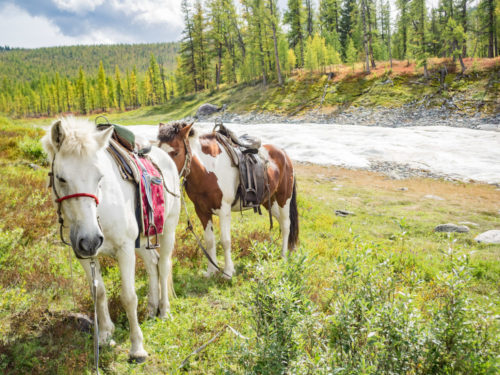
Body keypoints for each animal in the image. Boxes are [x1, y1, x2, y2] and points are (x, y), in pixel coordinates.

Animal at [42, 118, 181, 364]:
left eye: (99, 177)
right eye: (61, 178)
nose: (90, 239)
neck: (101, 209)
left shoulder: (124, 249)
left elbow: (129, 297)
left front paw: (137, 348)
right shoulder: (84, 254)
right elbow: (98, 292)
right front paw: (105, 334)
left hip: (168, 229)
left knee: (164, 266)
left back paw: (164, 311)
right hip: (141, 240)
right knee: (152, 264)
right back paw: (151, 308)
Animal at [157, 122, 296, 278]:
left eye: (175, 152)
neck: (208, 169)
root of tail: (284, 154)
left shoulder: (224, 210)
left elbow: (225, 241)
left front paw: (228, 272)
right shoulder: (202, 211)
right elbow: (209, 241)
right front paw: (211, 271)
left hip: (284, 198)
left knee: (286, 224)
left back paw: (284, 256)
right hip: (268, 201)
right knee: (281, 222)